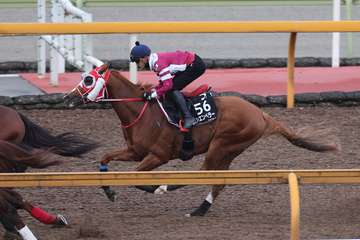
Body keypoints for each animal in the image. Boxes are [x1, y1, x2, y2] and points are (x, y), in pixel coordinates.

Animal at [63, 63, 338, 218]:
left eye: (88, 79)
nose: (67, 98)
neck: (141, 110)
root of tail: (261, 113)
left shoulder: (158, 156)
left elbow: (135, 177)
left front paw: (154, 187)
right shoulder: (135, 151)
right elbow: (104, 158)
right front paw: (109, 190)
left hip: (223, 144)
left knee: (206, 171)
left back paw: (169, 188)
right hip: (228, 150)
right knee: (218, 181)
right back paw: (200, 210)